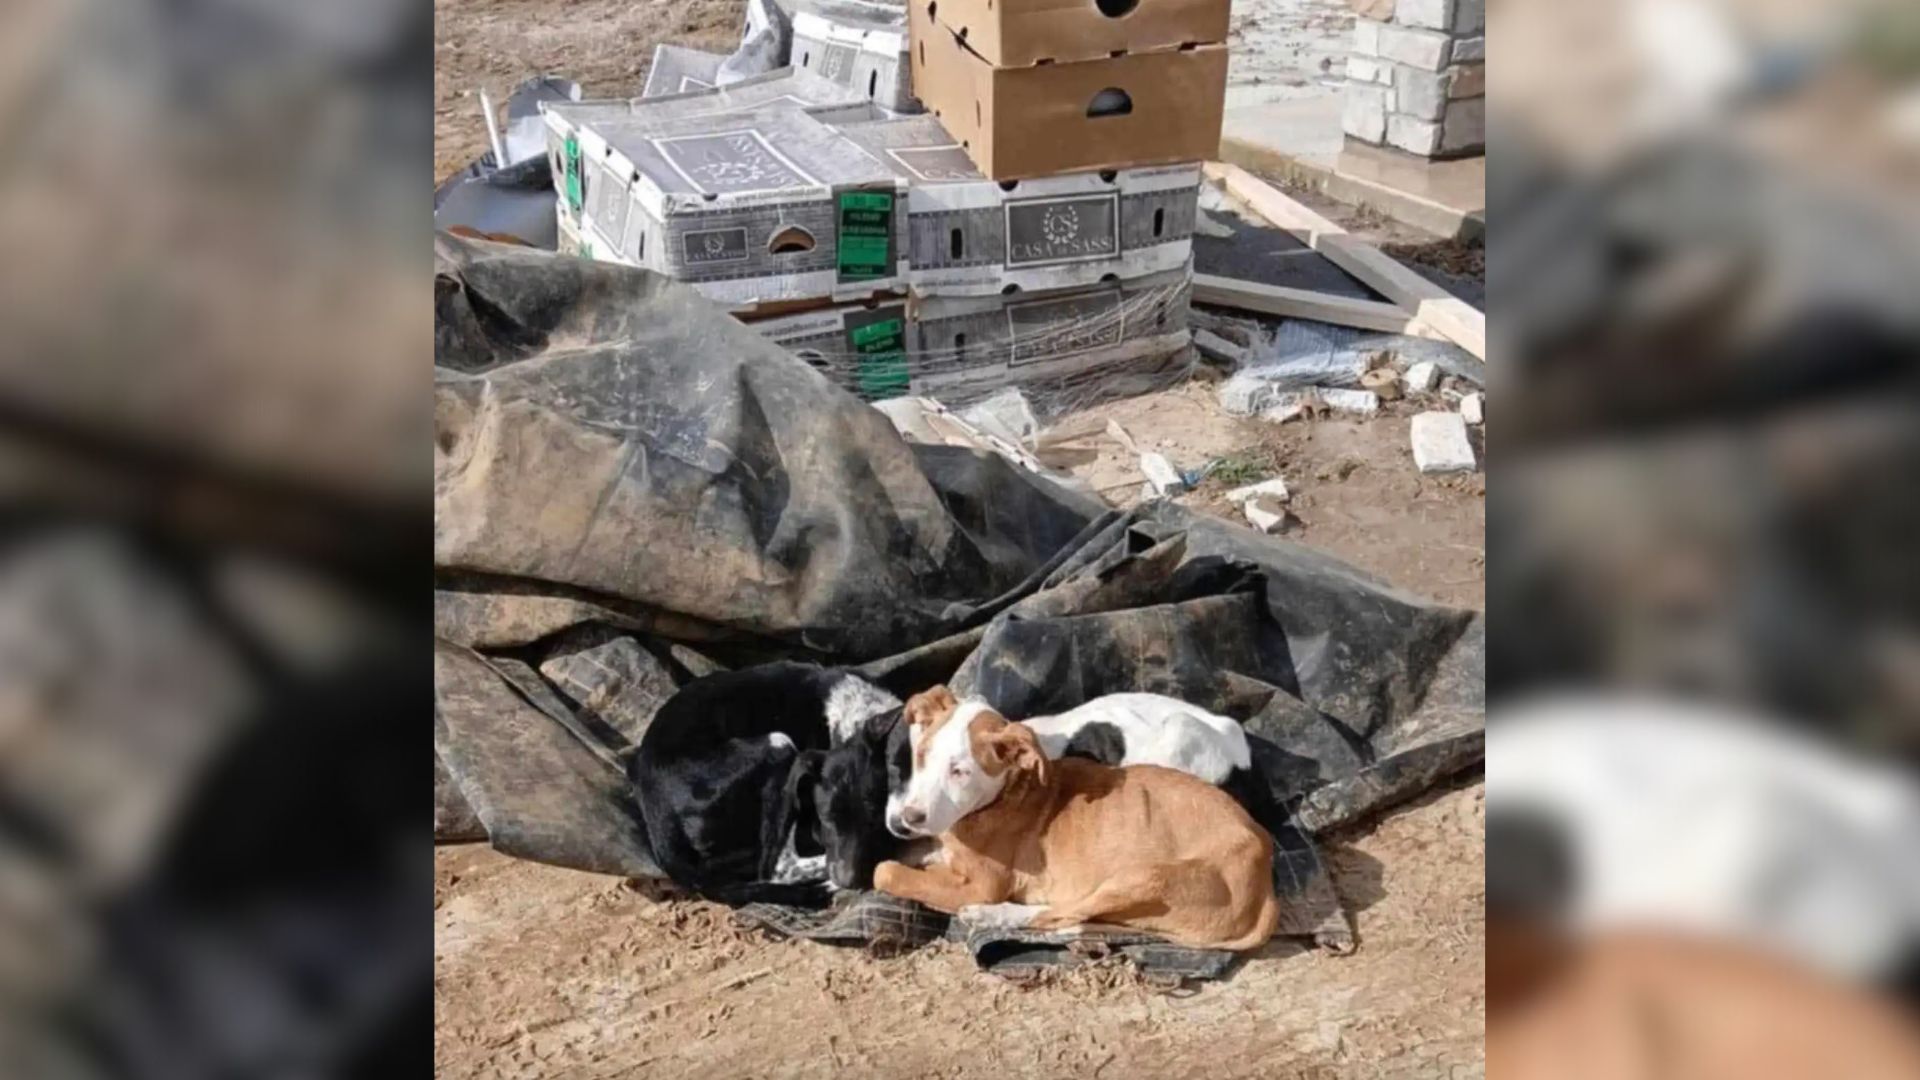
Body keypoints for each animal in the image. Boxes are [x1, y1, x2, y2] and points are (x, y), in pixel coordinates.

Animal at [629, 661, 898, 903]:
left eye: (874, 820)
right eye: (827, 818)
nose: (848, 882)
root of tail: (653, 800)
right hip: (778, 747)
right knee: (774, 867)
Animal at [879, 684, 1282, 945]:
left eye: (959, 771)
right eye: (908, 762)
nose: (903, 822)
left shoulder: (985, 880)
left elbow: (888, 871)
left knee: (1062, 914)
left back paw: (991, 915)